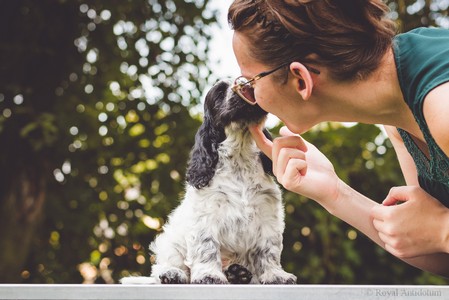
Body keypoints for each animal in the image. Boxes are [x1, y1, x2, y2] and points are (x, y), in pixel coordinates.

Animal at [126, 81, 296, 284]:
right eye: (220, 92)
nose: (245, 87)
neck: (240, 156)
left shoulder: (267, 214)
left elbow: (269, 250)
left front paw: (275, 274)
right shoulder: (206, 215)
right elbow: (207, 247)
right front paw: (209, 275)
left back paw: (238, 273)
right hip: (170, 242)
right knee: (166, 265)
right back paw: (173, 274)